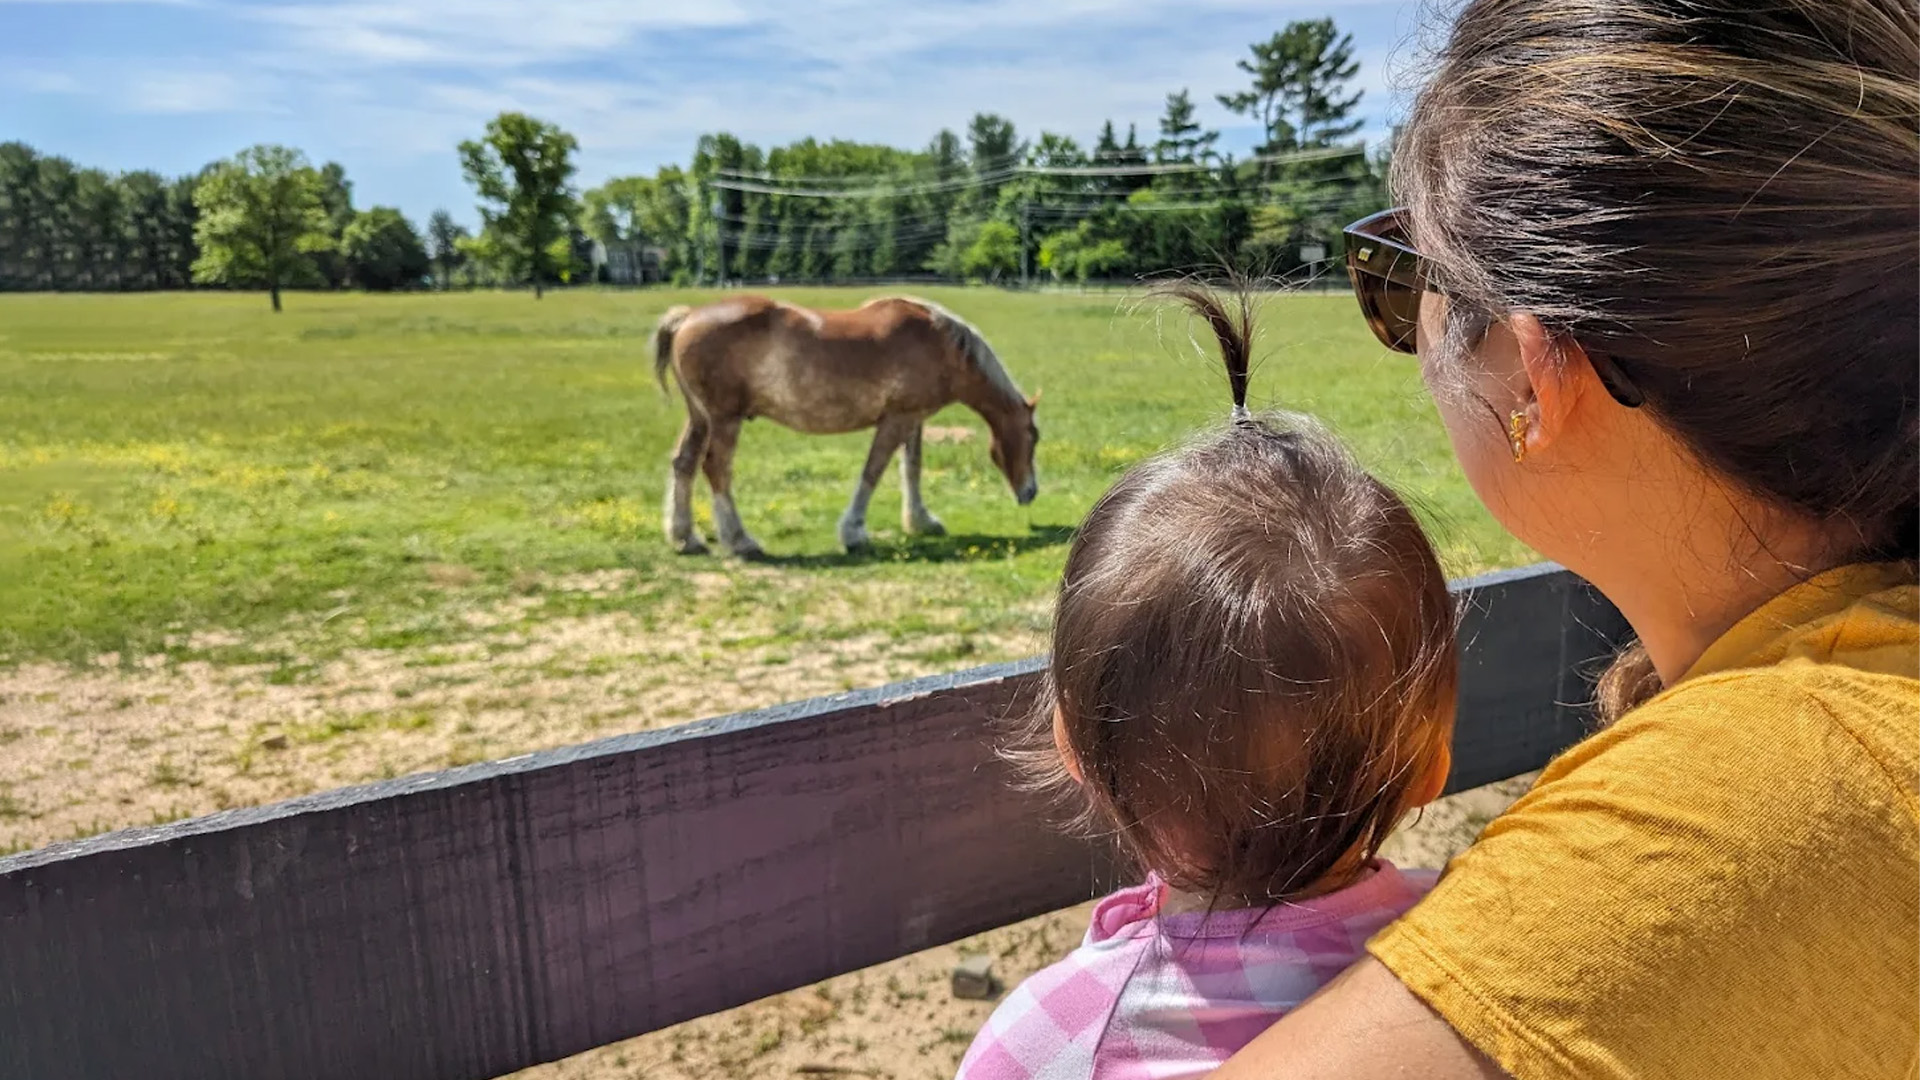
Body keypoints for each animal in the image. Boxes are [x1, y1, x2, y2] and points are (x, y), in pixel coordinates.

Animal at [652, 295, 1040, 557]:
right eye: (1033, 436)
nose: (1031, 492)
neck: (939, 344)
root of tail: (687, 318)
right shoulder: (896, 420)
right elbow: (873, 471)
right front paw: (853, 532)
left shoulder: (913, 419)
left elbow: (911, 470)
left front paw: (920, 521)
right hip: (724, 420)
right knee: (715, 468)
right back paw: (740, 541)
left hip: (700, 418)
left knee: (684, 465)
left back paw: (685, 537)